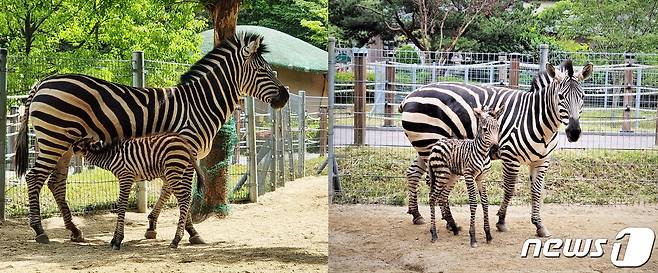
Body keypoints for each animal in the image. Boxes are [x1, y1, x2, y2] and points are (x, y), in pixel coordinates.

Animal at [72, 132, 205, 249]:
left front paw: (117, 240)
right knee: (186, 197)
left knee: (184, 198)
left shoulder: (126, 177)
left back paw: (176, 240)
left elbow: (121, 207)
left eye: (78, 145)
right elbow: (120, 206)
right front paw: (114, 239)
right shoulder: (125, 179)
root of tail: (184, 142)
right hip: (178, 171)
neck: (110, 156)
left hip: (174, 170)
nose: (71, 148)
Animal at [426, 106, 502, 246]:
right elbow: (473, 202)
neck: (483, 154)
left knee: (442, 196)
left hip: (452, 176)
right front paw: (472, 237)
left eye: (497, 128)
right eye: (485, 129)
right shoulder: (469, 175)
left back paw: (454, 228)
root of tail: (436, 144)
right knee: (433, 197)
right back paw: (433, 233)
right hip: (442, 174)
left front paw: (488, 234)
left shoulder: (481, 178)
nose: (495, 148)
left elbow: (485, 202)